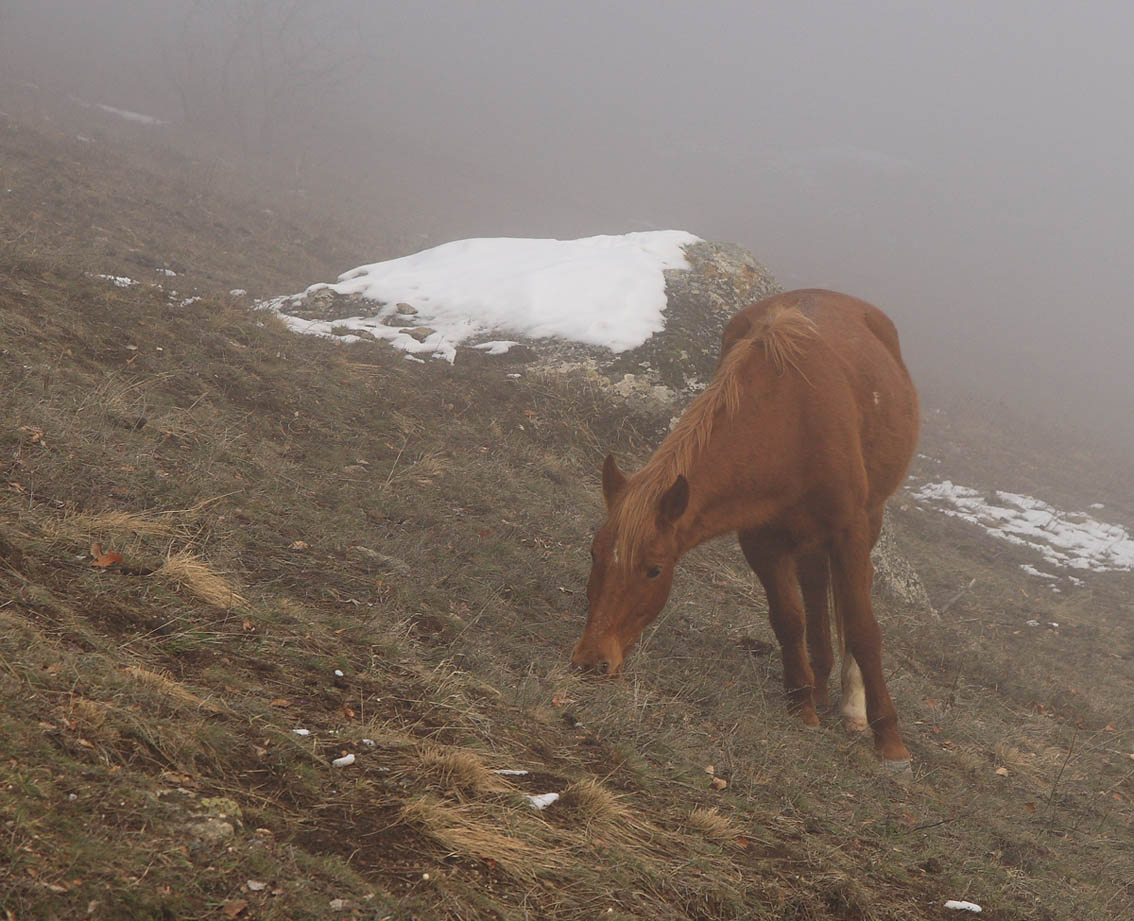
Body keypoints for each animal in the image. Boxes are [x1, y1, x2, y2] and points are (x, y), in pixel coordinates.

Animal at [576, 288, 920, 762]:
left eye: (653, 570)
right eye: (594, 553)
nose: (592, 661)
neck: (792, 420)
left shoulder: (848, 531)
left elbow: (864, 628)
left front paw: (889, 738)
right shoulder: (761, 540)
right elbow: (788, 618)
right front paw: (801, 703)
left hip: (870, 518)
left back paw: (853, 706)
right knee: (815, 589)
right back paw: (822, 685)